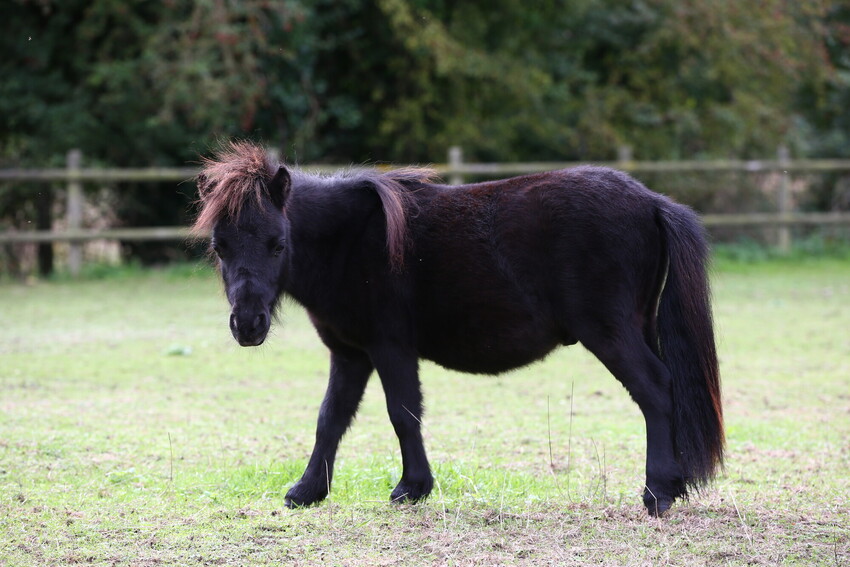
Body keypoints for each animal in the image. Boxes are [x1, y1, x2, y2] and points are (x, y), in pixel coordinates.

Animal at [193, 141, 724, 517]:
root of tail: (651, 200)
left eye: (277, 243)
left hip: (611, 334)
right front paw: (307, 491)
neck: (348, 241)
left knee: (655, 390)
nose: (248, 324)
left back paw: (657, 492)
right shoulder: (350, 354)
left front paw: (411, 488)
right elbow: (331, 418)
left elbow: (403, 413)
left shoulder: (390, 348)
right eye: (220, 246)